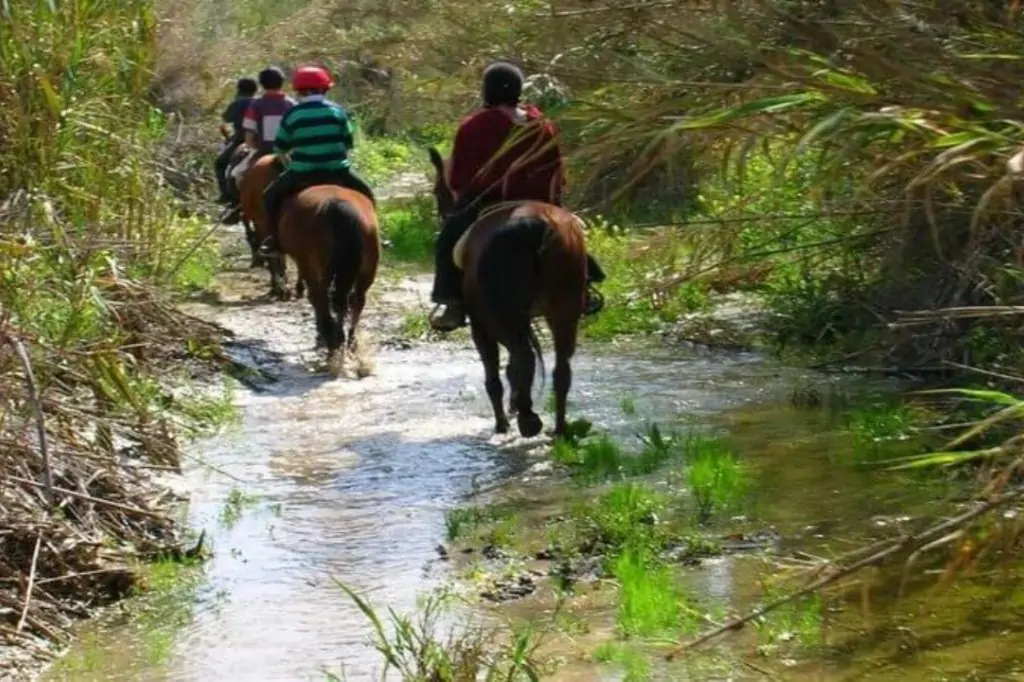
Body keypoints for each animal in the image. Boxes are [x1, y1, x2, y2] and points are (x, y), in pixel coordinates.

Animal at [276, 180, 380, 364]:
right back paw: (347, 341)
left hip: (315, 267)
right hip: (367, 271)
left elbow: (316, 299)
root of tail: (339, 207)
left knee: (322, 298)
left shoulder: (307, 266)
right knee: (355, 300)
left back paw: (332, 340)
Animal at [425, 146, 585, 438]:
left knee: (523, 357)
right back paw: (558, 428)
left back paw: (526, 419)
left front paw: (502, 423)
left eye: (436, 190)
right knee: (560, 371)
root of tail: (535, 225)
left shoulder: (480, 325)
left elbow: (494, 376)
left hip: (498, 317)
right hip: (564, 311)